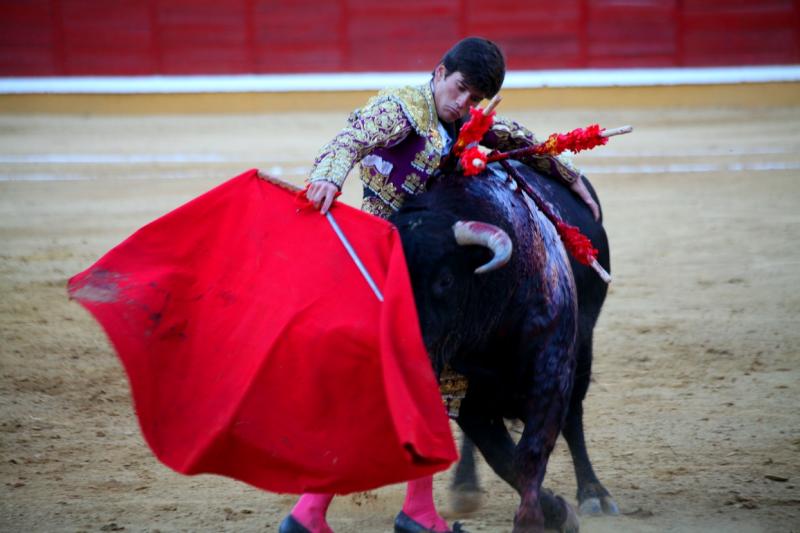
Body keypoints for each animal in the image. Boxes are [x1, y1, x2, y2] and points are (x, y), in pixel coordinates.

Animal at [392, 161, 612, 532]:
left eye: (445, 279)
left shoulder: (552, 372)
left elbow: (531, 452)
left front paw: (535, 519)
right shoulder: (469, 396)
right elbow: (504, 459)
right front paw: (554, 511)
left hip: (584, 349)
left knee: (574, 419)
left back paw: (594, 492)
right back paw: (465, 485)